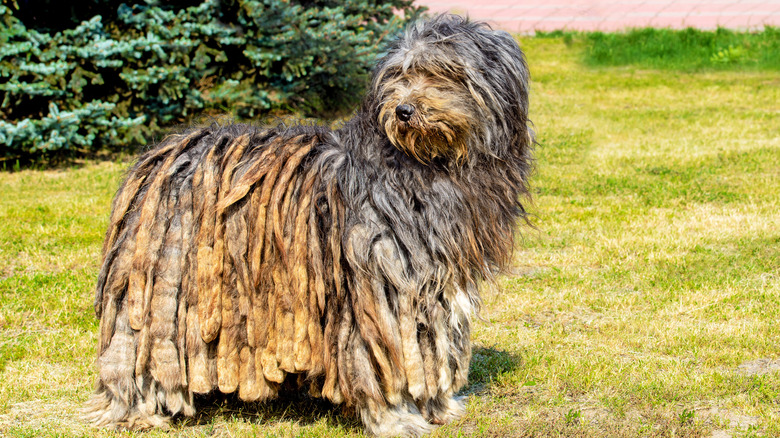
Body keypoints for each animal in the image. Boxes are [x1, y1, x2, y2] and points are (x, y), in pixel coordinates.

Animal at [87, 14, 536, 438]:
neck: (427, 165)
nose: (404, 111)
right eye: (399, 75)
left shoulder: (436, 282)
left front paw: (439, 406)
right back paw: (136, 409)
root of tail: (162, 155)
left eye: (444, 71)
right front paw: (395, 418)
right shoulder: (377, 283)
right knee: (135, 349)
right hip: (160, 287)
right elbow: (382, 358)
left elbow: (433, 344)